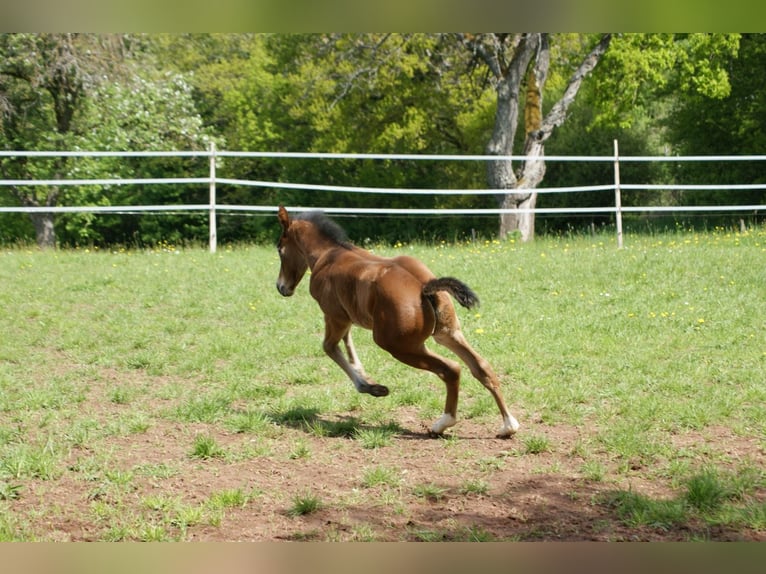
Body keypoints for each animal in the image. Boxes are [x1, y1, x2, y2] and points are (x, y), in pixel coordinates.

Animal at [275, 205, 520, 438]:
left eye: (280, 249)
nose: (281, 287)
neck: (329, 255)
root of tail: (424, 287)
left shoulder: (335, 316)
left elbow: (329, 347)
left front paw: (371, 387)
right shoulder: (347, 317)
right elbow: (346, 343)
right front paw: (365, 375)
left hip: (398, 345)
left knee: (451, 369)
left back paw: (442, 424)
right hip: (448, 333)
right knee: (481, 367)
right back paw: (508, 426)